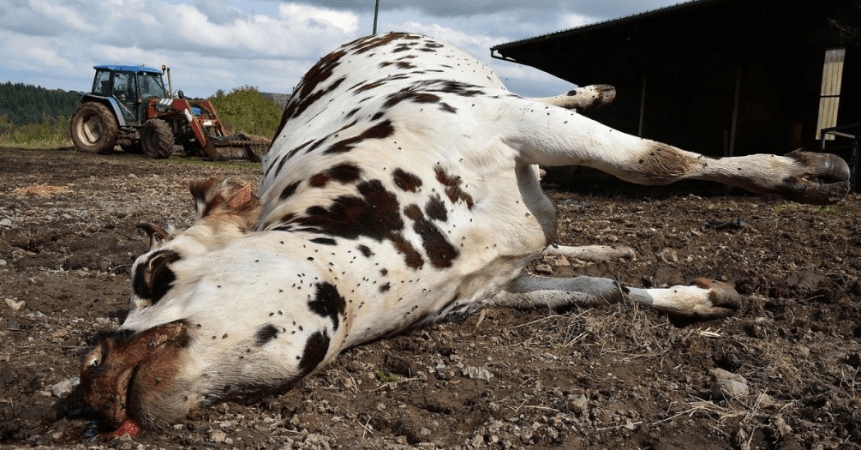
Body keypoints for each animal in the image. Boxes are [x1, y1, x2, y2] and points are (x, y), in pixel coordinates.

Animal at [81, 32, 850, 436]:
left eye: (153, 272)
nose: (90, 373)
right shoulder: (497, 287)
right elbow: (601, 290)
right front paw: (693, 296)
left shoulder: (503, 121)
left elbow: (660, 162)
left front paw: (805, 171)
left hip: (491, 95)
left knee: (549, 97)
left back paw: (596, 92)